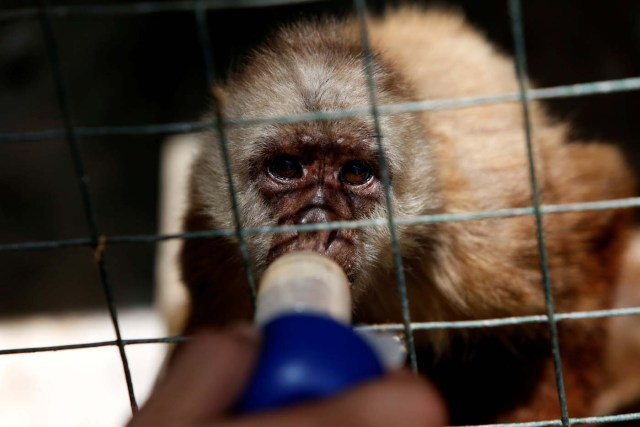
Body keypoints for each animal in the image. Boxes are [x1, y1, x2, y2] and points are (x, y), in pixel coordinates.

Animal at [175, 7, 636, 427]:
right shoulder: (212, 240)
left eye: (355, 173)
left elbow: (603, 202)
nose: (318, 224)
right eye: (286, 168)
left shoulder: (491, 235)